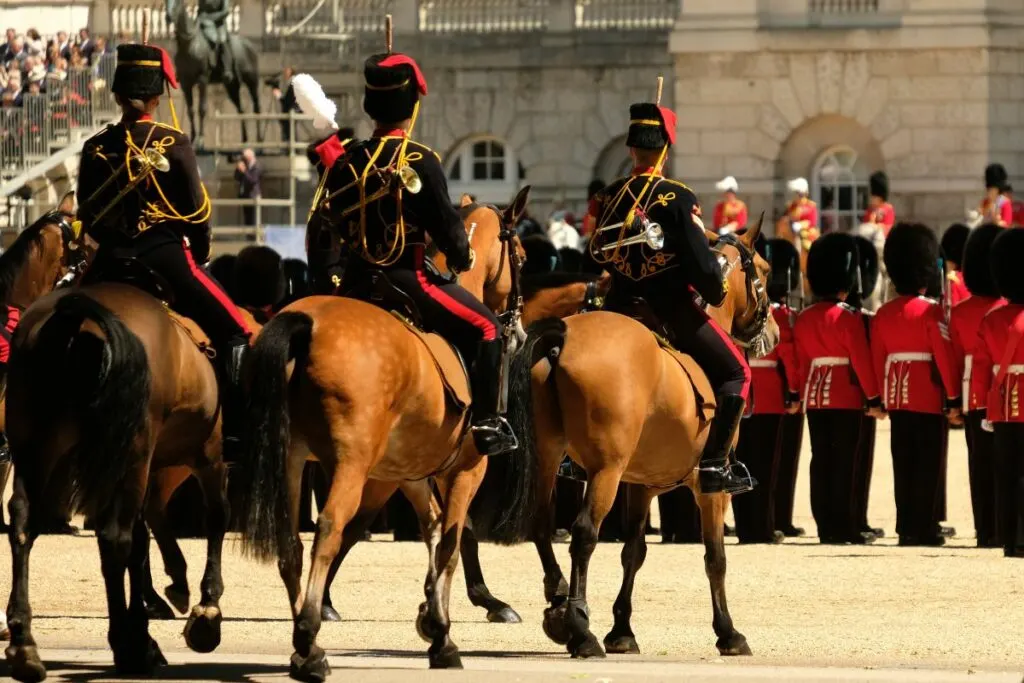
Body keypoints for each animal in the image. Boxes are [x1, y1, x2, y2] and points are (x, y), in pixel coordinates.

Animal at [236, 188, 532, 683]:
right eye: (523, 257)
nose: (520, 331)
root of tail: (305, 323)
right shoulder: (465, 470)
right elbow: (451, 541)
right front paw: (442, 633)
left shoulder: (405, 473)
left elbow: (433, 529)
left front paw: (432, 619)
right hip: (349, 466)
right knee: (330, 528)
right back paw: (309, 638)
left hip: (291, 459)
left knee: (291, 541)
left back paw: (304, 645)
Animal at [471, 222, 774, 659]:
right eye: (764, 271)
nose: (775, 331)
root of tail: (563, 334)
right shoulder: (709, 488)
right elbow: (714, 557)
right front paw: (729, 633)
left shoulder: (641, 485)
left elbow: (634, 552)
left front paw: (622, 628)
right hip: (604, 471)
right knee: (583, 534)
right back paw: (578, 627)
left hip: (547, 457)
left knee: (542, 525)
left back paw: (557, 603)